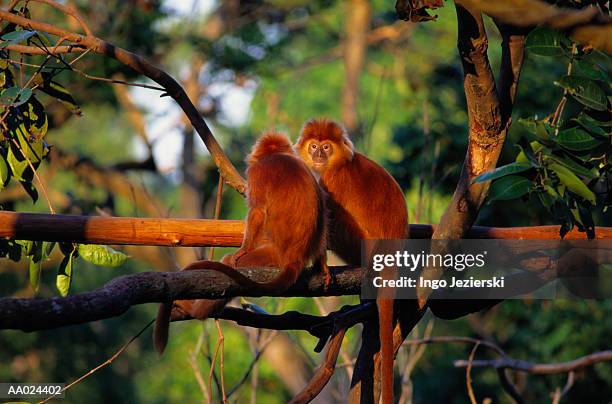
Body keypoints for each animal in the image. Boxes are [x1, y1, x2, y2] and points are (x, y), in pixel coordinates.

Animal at [153, 132, 328, 354]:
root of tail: (295, 258)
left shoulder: (258, 172)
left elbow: (258, 211)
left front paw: (242, 249)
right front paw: (324, 265)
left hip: (270, 255)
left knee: (231, 266)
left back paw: (195, 310)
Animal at [296, 118, 406, 404]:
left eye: (326, 147)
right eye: (314, 146)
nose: (318, 154)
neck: (339, 163)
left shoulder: (332, 179)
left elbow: (325, 217)